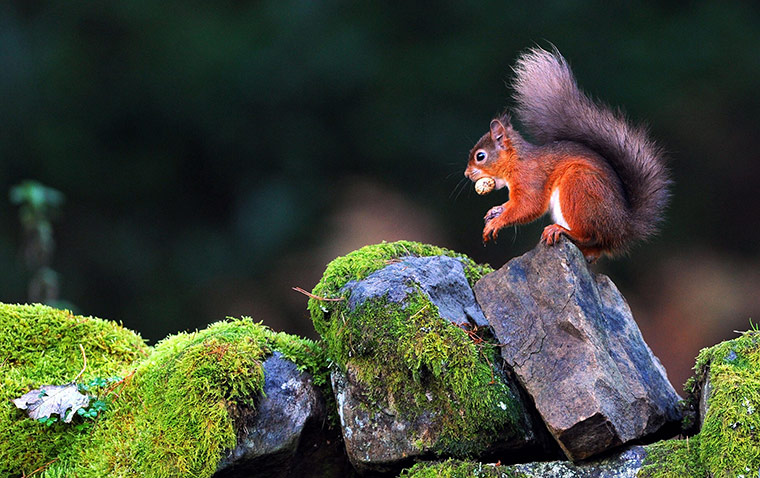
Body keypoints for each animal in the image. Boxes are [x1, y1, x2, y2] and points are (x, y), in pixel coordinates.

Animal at [465, 47, 670, 261]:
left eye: (480, 156)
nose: (467, 174)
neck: (516, 161)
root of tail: (622, 228)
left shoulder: (530, 178)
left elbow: (528, 206)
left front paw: (497, 222)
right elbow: (512, 205)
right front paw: (495, 210)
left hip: (579, 185)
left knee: (588, 234)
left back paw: (561, 230)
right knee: (595, 247)